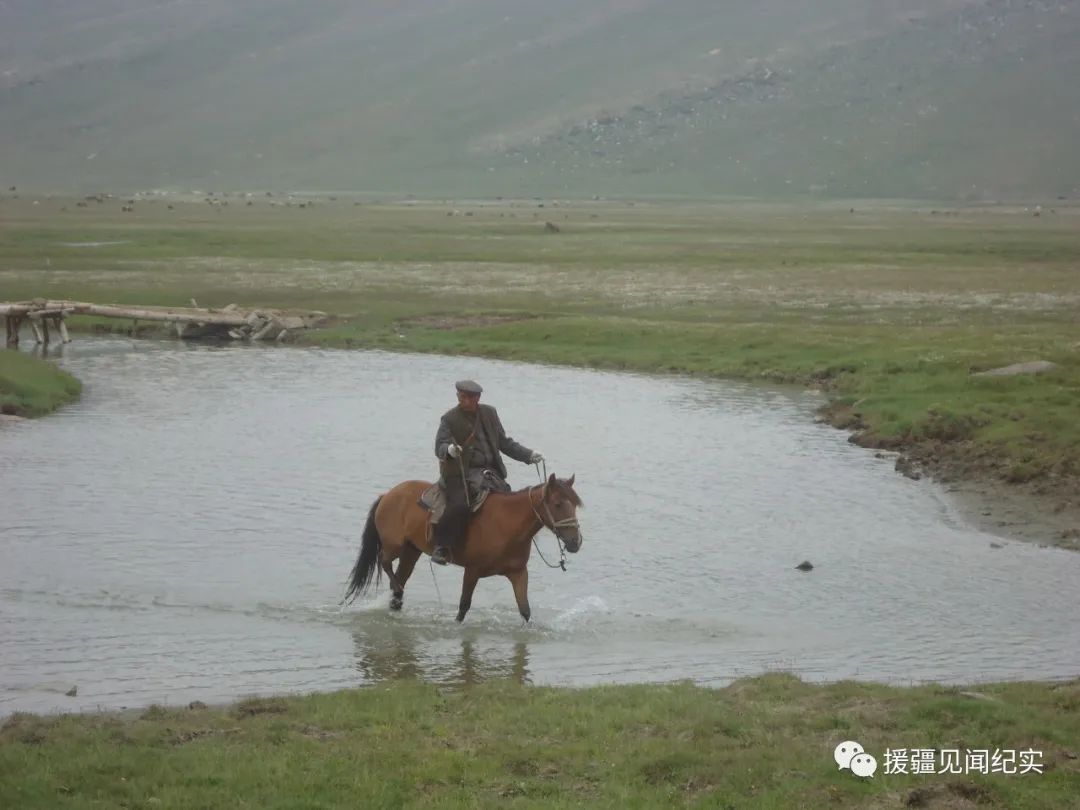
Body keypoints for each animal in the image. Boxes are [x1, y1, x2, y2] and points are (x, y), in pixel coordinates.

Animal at [343, 473, 583, 626]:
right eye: (558, 504)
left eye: (574, 504)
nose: (575, 542)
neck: (506, 523)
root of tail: (388, 495)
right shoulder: (472, 571)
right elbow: (463, 606)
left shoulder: (518, 573)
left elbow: (525, 610)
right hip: (394, 545)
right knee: (384, 561)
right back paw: (397, 589)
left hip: (411, 551)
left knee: (399, 577)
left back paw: (397, 597)